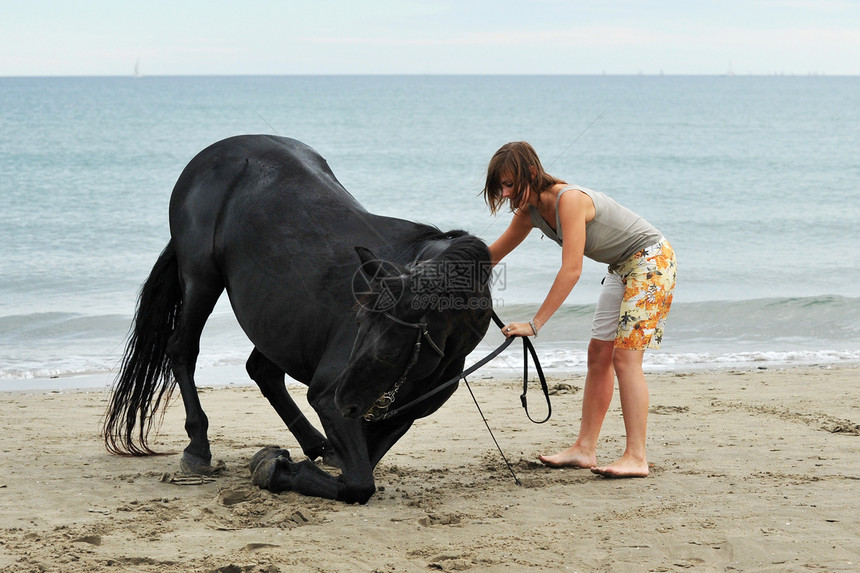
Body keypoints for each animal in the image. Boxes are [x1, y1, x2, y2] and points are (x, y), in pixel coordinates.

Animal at [102, 134, 490, 500]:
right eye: (359, 327)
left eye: (388, 351)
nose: (344, 400)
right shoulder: (329, 397)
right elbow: (359, 484)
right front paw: (275, 468)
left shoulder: (397, 416)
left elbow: (360, 473)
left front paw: (278, 463)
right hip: (201, 279)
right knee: (182, 349)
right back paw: (198, 449)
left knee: (263, 370)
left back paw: (316, 445)